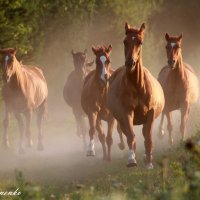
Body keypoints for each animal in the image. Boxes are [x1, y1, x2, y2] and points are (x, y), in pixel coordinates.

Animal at [107, 22, 165, 169]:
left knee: (145, 135)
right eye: (124, 41)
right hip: (121, 120)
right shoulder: (126, 113)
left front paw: (149, 162)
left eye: (140, 42)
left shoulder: (150, 113)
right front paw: (131, 160)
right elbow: (131, 136)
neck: (138, 86)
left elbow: (148, 138)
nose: (130, 63)